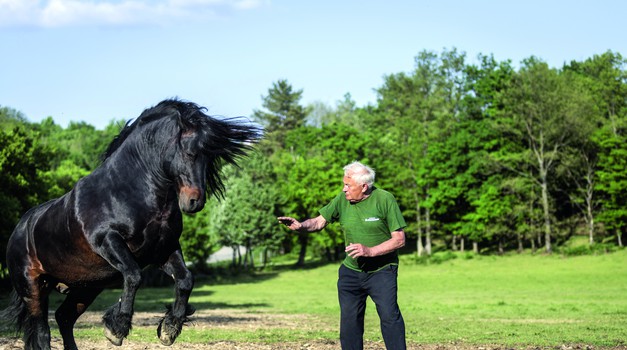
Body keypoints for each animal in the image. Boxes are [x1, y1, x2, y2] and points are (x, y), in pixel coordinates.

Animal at [0, 98, 260, 350]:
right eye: (189, 152)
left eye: (210, 157)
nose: (194, 202)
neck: (125, 192)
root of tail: (18, 230)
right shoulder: (108, 241)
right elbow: (134, 276)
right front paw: (116, 329)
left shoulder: (163, 250)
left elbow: (186, 280)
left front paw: (169, 329)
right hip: (34, 289)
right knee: (42, 333)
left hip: (86, 288)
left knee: (64, 318)